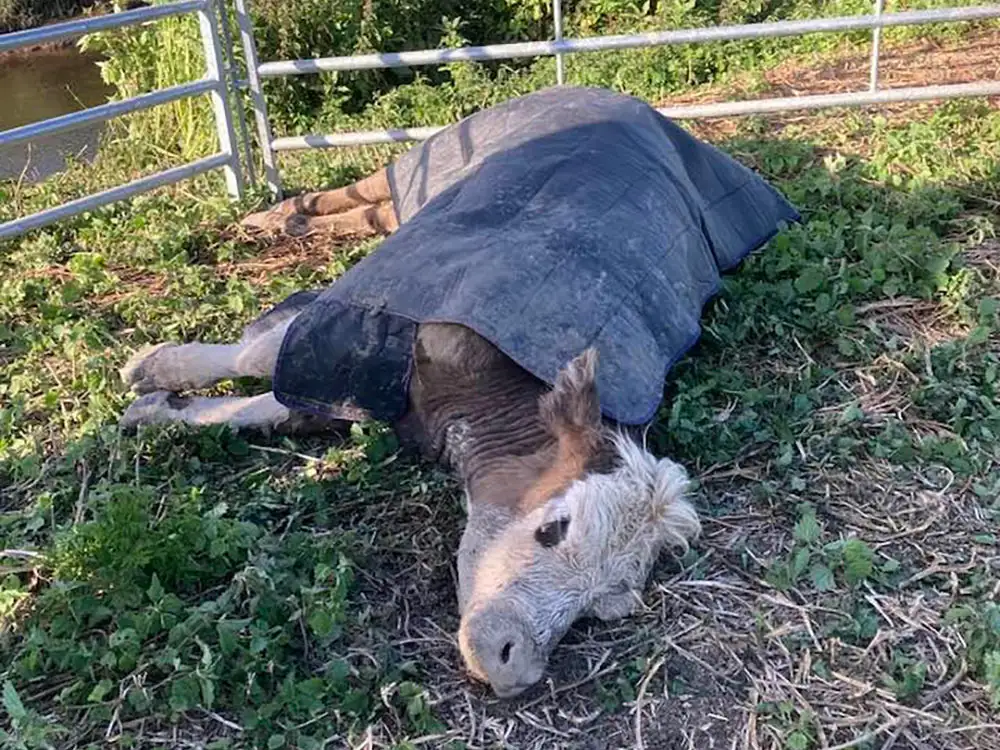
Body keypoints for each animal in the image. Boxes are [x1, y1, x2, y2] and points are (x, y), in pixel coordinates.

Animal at [118, 86, 799, 698]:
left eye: (606, 605)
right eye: (553, 528)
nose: (515, 665)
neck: (477, 399)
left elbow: (268, 409)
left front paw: (156, 411)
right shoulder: (378, 324)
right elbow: (258, 355)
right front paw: (152, 368)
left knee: (367, 214)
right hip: (431, 154)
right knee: (358, 191)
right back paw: (270, 215)